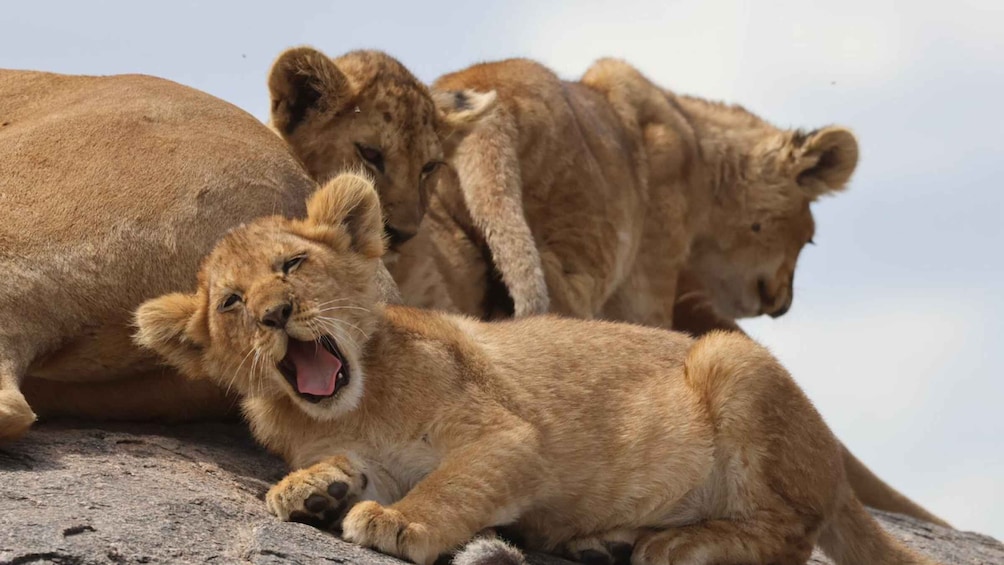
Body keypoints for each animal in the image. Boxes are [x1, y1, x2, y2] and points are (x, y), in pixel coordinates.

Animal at [134, 173, 938, 565]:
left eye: (292, 265)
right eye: (232, 302)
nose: (274, 314)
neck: (358, 399)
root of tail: (833, 465)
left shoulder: (510, 436)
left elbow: (452, 483)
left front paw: (398, 521)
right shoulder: (353, 444)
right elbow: (334, 468)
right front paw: (308, 490)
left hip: (729, 357)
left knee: (792, 532)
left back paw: (674, 543)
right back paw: (603, 540)